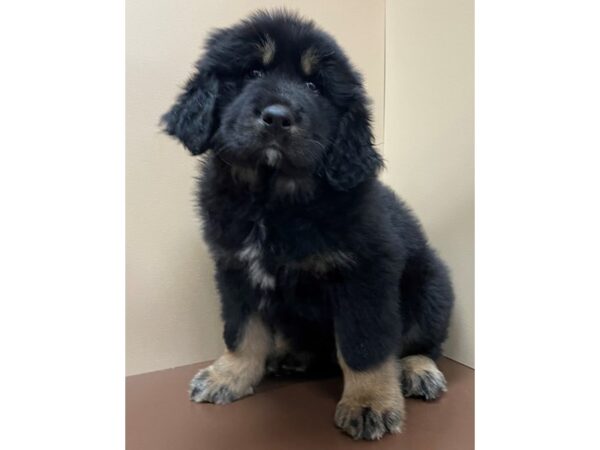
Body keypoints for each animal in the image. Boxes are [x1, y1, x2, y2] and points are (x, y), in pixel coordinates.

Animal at [162, 9, 452, 440]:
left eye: (314, 86)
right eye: (252, 72)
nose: (277, 118)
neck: (272, 200)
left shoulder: (364, 274)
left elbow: (364, 346)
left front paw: (369, 403)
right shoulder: (235, 269)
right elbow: (241, 330)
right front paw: (228, 376)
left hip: (432, 287)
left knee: (420, 343)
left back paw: (417, 371)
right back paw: (290, 356)